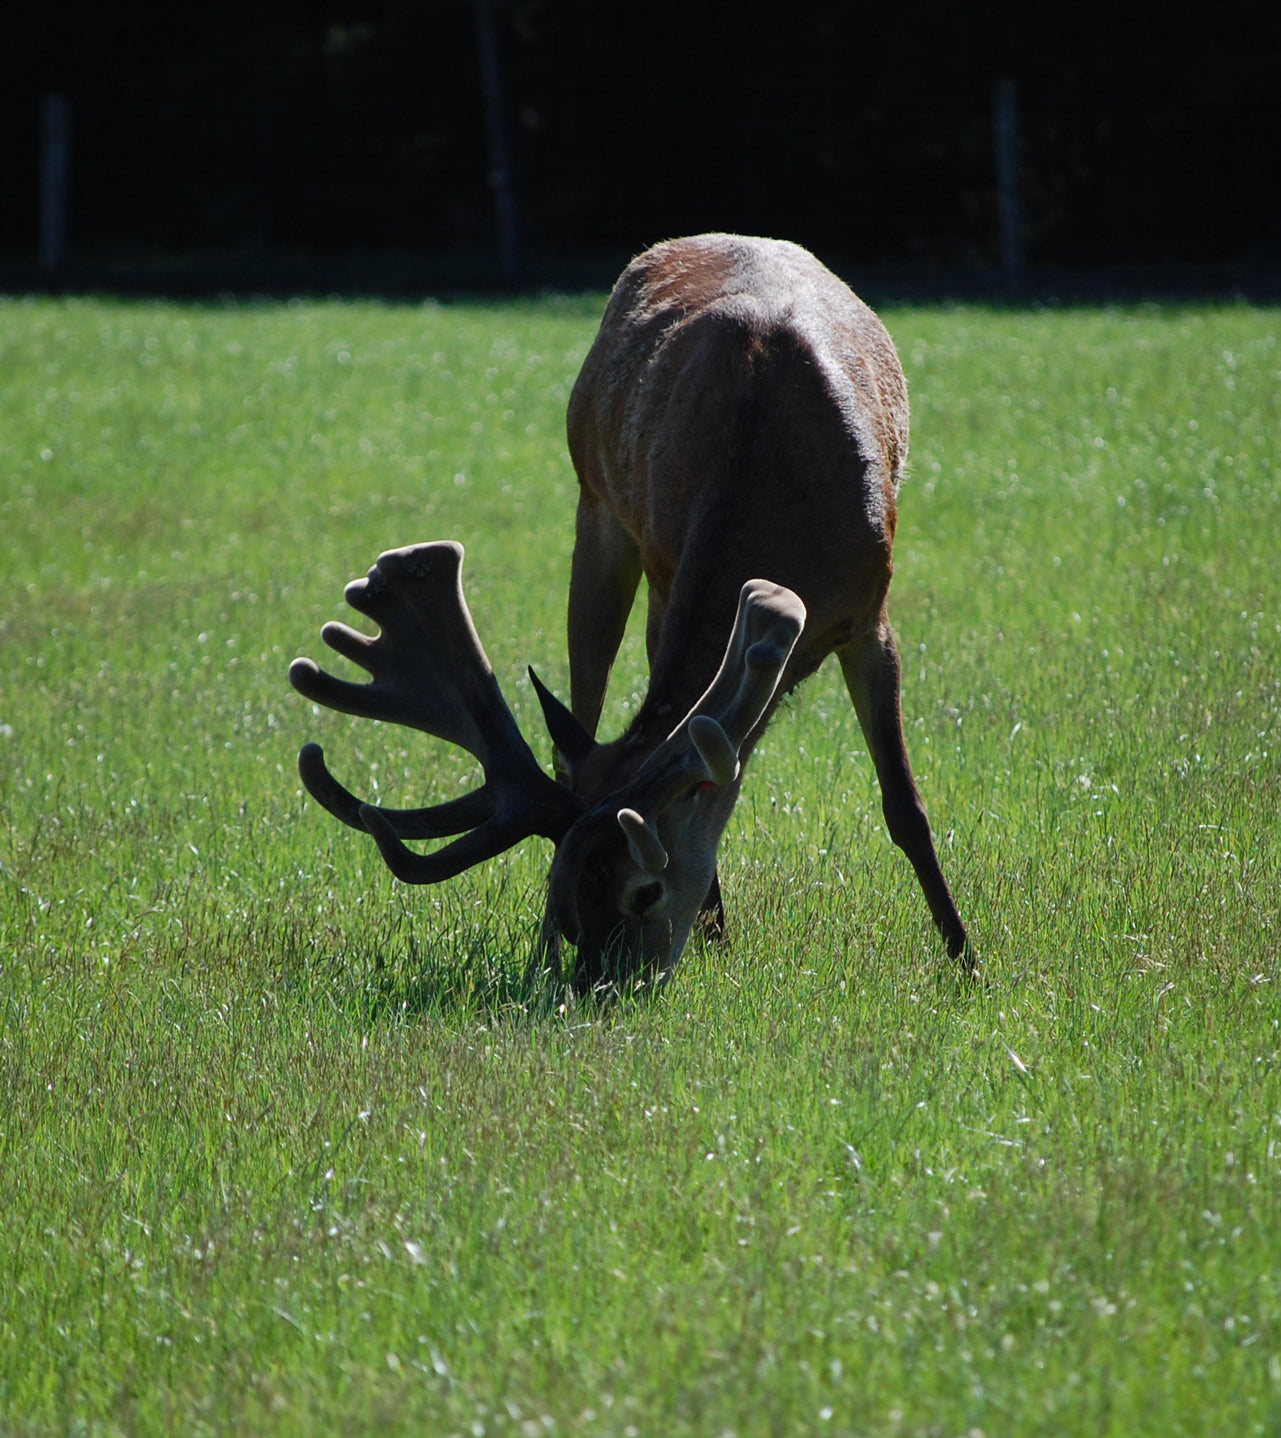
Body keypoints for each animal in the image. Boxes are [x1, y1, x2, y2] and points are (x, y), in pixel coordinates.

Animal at [290, 238, 971, 1000]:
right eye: (570, 893)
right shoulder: (669, 568)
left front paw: (964, 958)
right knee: (581, 717)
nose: (601, 987)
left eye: (644, 890)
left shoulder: (869, 608)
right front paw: (710, 931)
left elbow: (904, 805)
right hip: (597, 508)